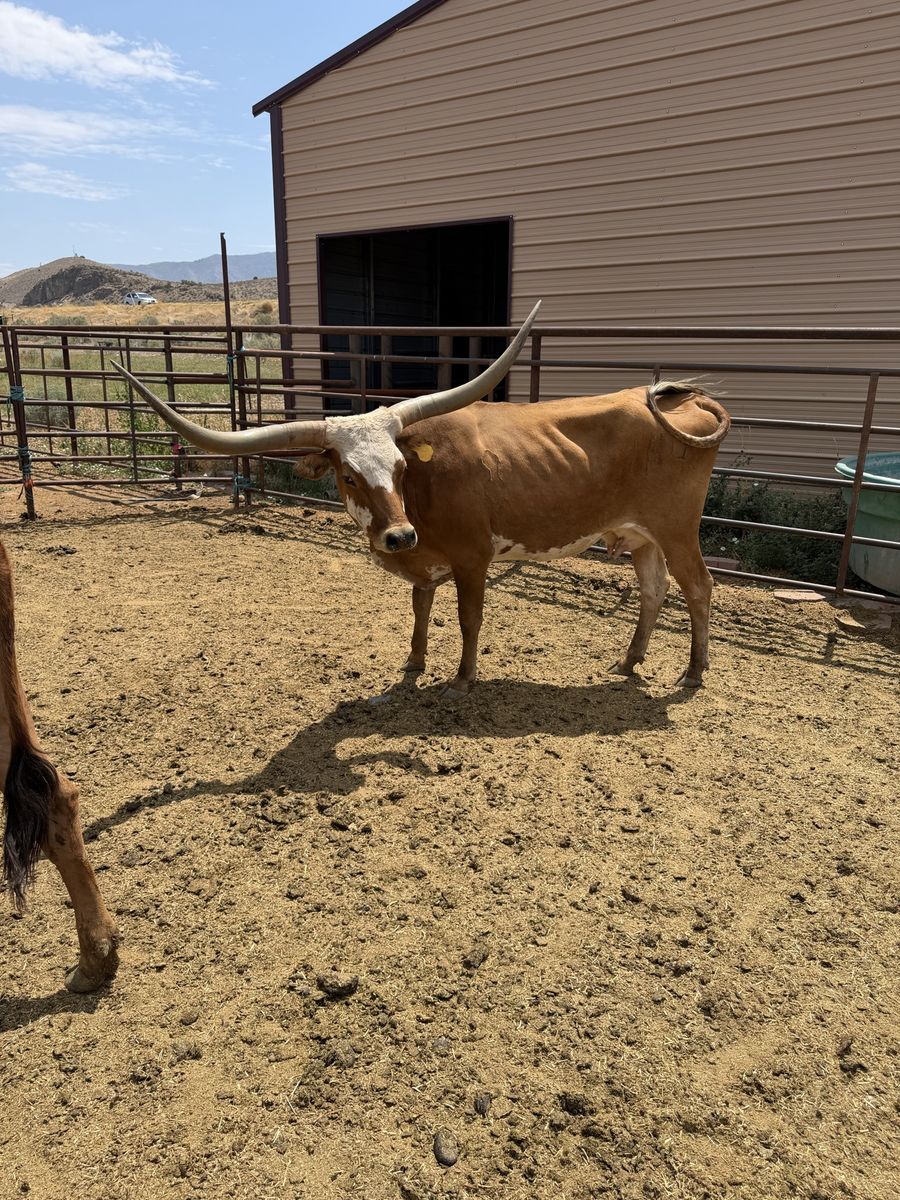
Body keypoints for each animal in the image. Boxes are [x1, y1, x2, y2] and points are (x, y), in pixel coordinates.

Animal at [114, 302, 730, 695]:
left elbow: (468, 618)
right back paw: (629, 661)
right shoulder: (425, 564)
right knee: (654, 591)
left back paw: (693, 672)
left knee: (699, 588)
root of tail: (683, 399)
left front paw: (462, 678)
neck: (420, 501)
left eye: (400, 466)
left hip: (677, 529)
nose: (399, 534)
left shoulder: (473, 558)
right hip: (643, 535)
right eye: (349, 476)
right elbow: (420, 610)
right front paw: (413, 663)